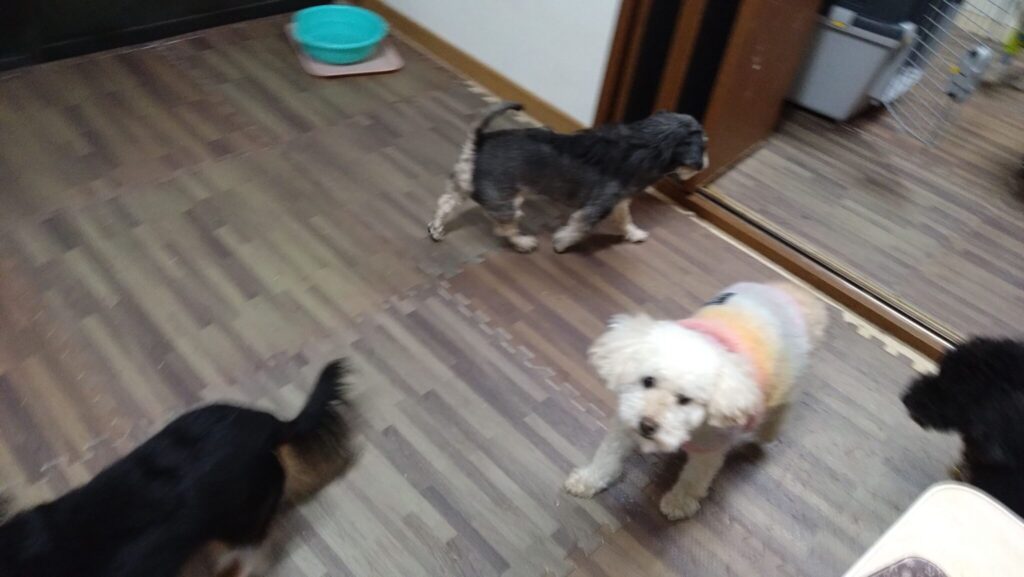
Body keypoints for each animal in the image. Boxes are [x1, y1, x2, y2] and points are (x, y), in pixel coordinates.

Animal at [427, 102, 708, 253]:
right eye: (704, 145)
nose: (705, 163)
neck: (645, 144)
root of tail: (478, 143)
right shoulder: (598, 206)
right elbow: (579, 227)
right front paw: (562, 243)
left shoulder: (618, 203)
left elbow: (626, 220)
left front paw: (635, 234)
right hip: (507, 201)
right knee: (504, 227)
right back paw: (524, 242)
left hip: (463, 184)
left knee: (445, 203)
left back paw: (436, 229)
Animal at [564, 282, 827, 520]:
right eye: (648, 381)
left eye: (685, 400)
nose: (647, 425)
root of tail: (788, 293)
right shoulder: (625, 423)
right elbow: (607, 457)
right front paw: (589, 479)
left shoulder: (711, 446)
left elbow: (694, 478)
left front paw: (679, 502)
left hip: (789, 377)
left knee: (783, 406)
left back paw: (768, 431)